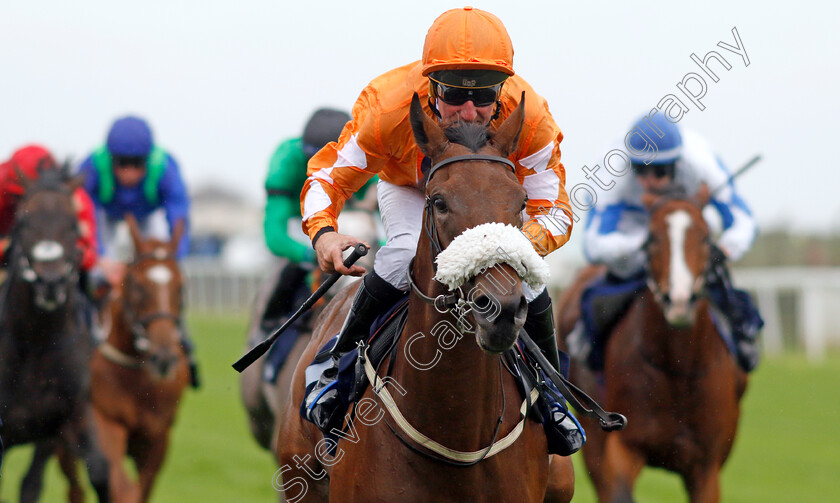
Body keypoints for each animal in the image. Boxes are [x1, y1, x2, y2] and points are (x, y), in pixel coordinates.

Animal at [0, 164, 110, 500]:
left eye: (73, 226)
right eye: (24, 222)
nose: (50, 282)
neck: (36, 341)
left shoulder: (65, 418)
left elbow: (98, 469)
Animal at [57, 215, 190, 502]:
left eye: (181, 287)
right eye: (136, 285)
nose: (164, 358)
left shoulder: (158, 437)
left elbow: (139, 489)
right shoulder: (105, 423)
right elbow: (121, 487)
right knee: (75, 487)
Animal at [556, 187, 748, 503]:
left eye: (706, 237)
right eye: (652, 239)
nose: (679, 300)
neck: (677, 368)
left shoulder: (706, 467)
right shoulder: (622, 447)